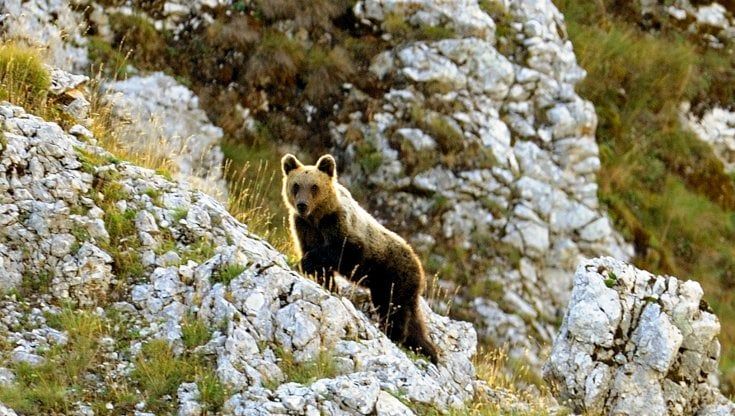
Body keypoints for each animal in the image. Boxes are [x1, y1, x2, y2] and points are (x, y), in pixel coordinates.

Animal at [281, 153, 440, 364]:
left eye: (314, 186)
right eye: (296, 185)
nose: (302, 205)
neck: (317, 217)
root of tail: (419, 264)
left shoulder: (340, 226)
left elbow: (341, 251)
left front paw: (308, 263)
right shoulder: (303, 227)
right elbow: (319, 263)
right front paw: (326, 282)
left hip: (394, 276)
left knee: (394, 308)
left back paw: (394, 335)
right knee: (412, 320)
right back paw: (427, 349)